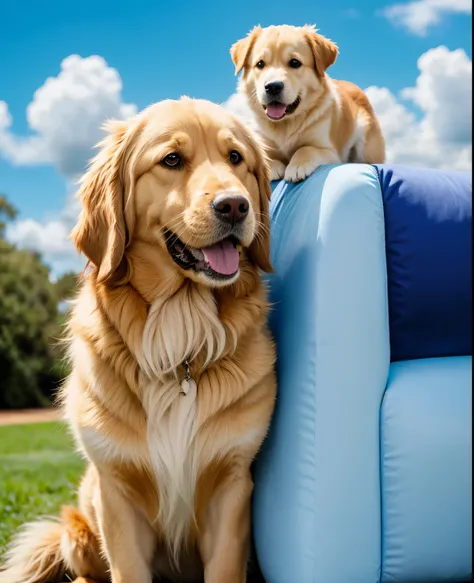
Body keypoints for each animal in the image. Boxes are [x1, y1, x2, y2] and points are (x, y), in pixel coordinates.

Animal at [0, 98, 276, 583]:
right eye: (172, 160)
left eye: (236, 158)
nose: (235, 206)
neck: (181, 335)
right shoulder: (117, 491)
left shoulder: (231, 486)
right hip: (82, 518)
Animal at [229, 24, 386, 181]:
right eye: (260, 64)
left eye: (295, 62)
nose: (273, 87)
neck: (285, 124)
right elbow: (263, 154)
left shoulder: (329, 150)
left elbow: (306, 148)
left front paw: (297, 166)